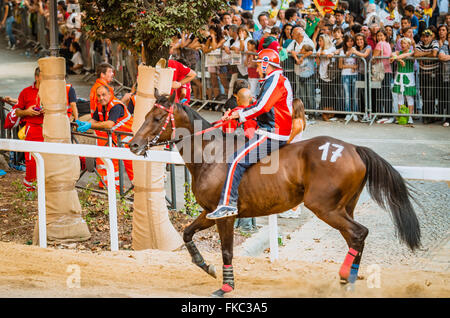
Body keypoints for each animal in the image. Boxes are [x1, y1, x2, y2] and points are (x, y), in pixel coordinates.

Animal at [127, 92, 422, 298]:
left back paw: (345, 278)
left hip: (325, 208)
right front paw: (205, 266)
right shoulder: (209, 212)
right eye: (145, 114)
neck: (212, 154)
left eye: (157, 119)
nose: (133, 144)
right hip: (342, 209)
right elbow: (187, 234)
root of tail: (353, 148)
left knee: (359, 233)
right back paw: (346, 279)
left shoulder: (225, 216)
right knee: (355, 237)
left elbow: (226, 251)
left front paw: (226, 286)